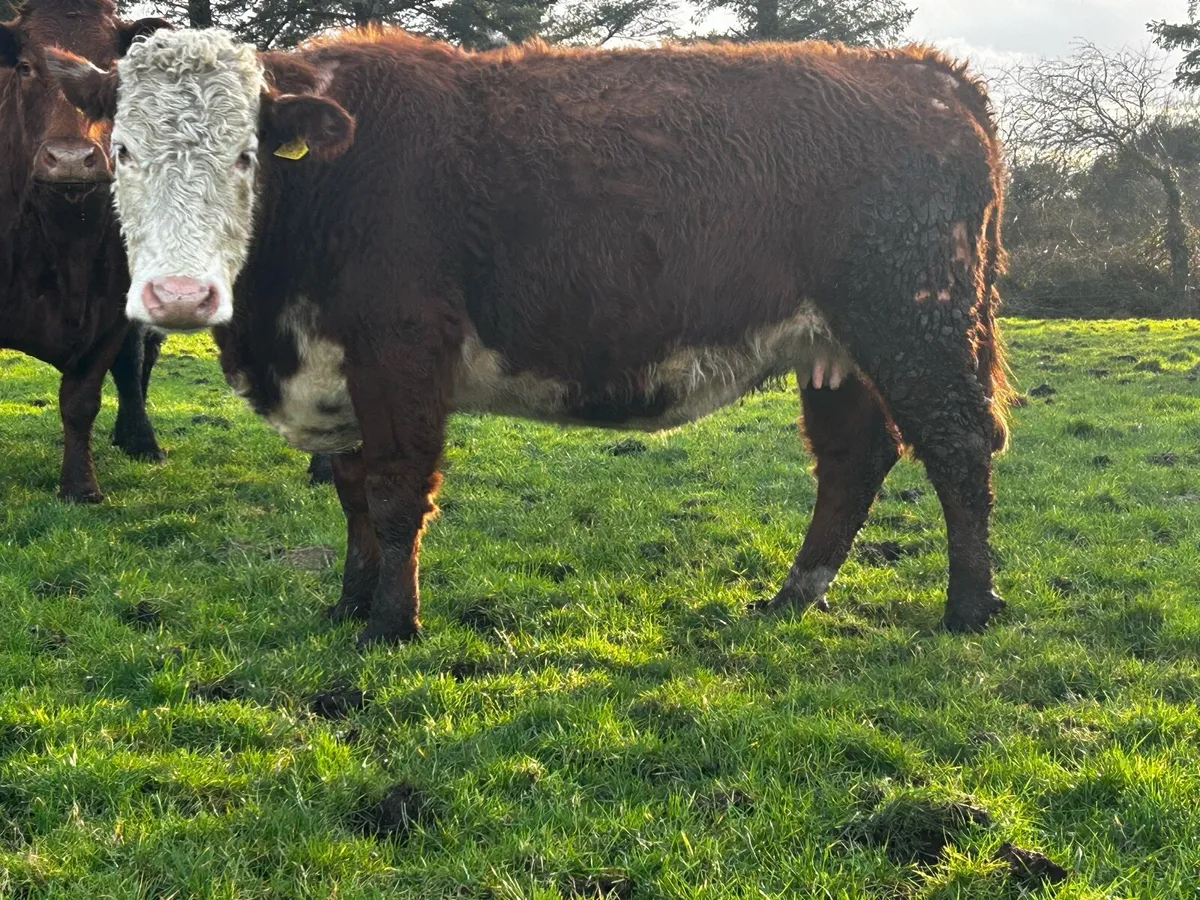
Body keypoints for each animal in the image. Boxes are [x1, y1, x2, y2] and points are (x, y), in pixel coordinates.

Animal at [0, 0, 170, 503]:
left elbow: (82, 400)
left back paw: (140, 440)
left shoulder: (110, 313)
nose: (72, 160)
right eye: (25, 67)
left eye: (112, 69)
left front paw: (79, 486)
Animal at [46, 27, 1013, 645]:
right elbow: (353, 492)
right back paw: (792, 597)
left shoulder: (402, 351)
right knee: (855, 459)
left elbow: (395, 492)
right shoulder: (341, 372)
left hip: (914, 318)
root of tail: (927, 74)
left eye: (246, 155)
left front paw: (391, 626)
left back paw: (969, 606)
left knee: (958, 444)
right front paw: (349, 604)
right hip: (835, 349)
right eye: (122, 151)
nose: (178, 294)